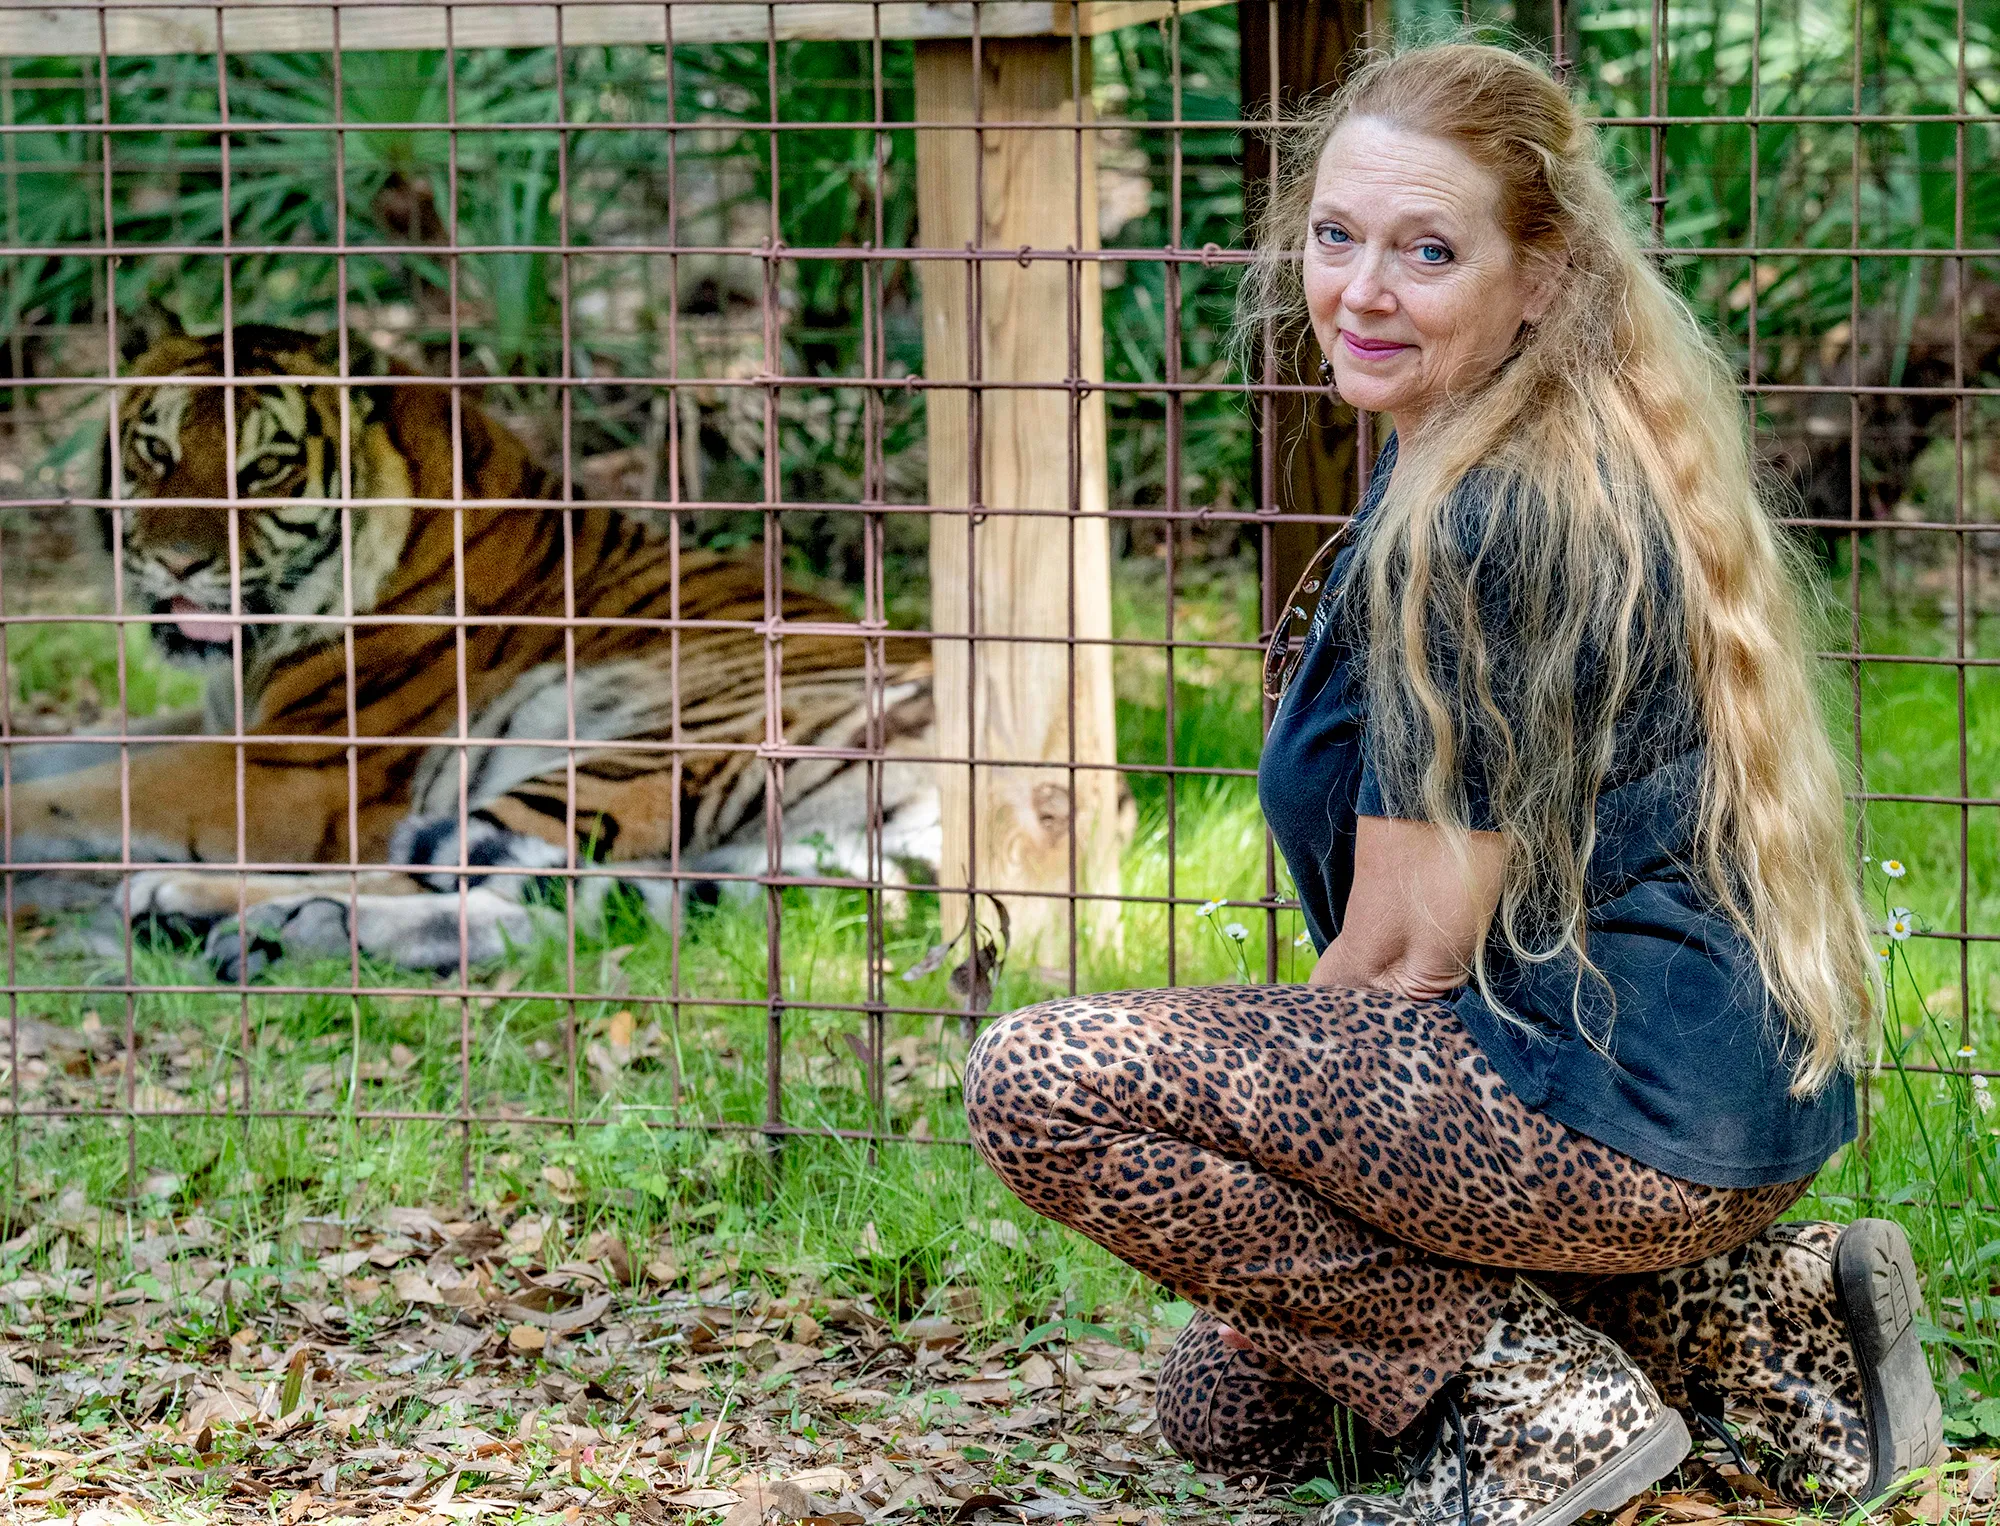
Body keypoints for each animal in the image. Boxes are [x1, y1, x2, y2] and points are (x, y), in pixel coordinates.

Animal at [10, 326, 940, 976]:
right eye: (156, 451)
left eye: (265, 468)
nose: (177, 563)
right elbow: (58, 755)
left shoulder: (293, 770)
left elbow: (78, 794)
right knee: (547, 916)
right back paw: (277, 929)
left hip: (641, 752)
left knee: (464, 877)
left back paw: (200, 906)